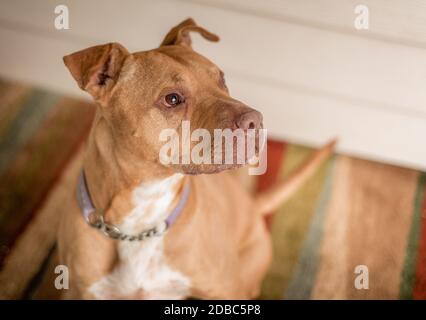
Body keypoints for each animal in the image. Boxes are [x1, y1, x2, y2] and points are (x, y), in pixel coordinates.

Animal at [57, 17, 336, 298]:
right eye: (172, 99)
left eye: (222, 79)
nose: (255, 120)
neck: (143, 217)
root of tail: (253, 204)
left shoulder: (227, 290)